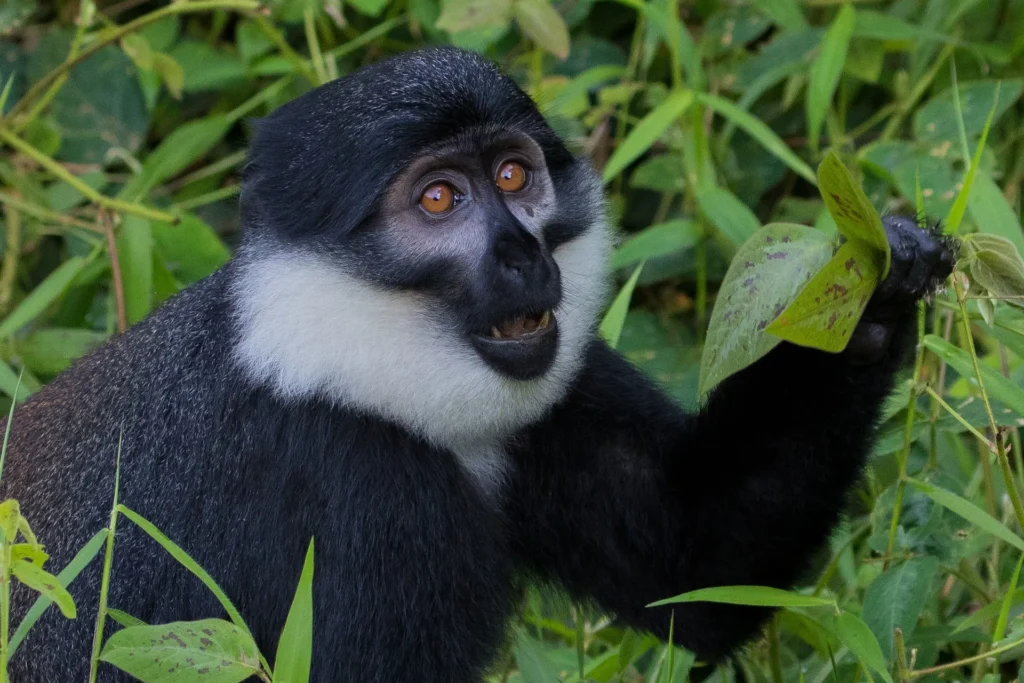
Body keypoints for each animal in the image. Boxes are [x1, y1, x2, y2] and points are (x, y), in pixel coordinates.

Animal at [0, 47, 954, 682]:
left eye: (513, 175)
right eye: (438, 199)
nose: (524, 255)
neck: (337, 359)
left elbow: (700, 567)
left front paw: (874, 285)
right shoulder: (358, 500)